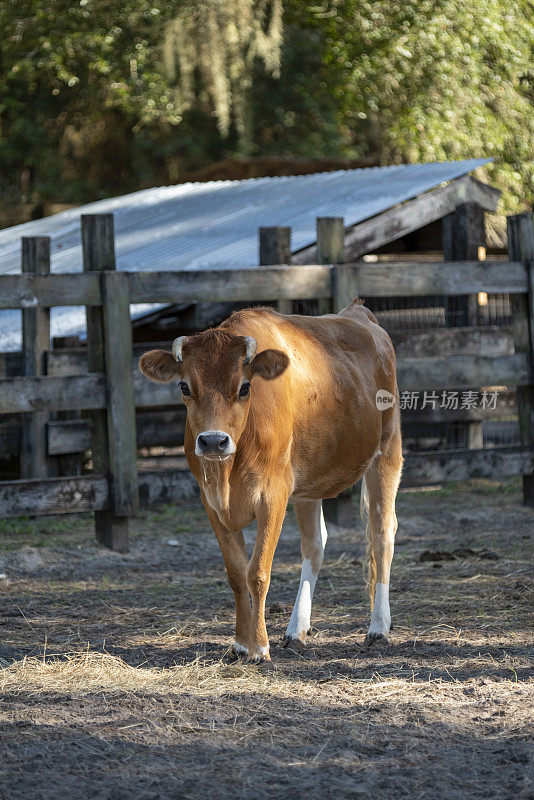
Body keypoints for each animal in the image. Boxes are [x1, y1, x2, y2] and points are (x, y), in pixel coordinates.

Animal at [140, 302, 404, 664]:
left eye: (245, 387)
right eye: (184, 386)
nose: (212, 441)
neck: (228, 474)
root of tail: (358, 313)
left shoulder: (273, 495)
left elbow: (258, 571)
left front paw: (259, 647)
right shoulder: (211, 502)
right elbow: (236, 575)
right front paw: (240, 643)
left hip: (387, 451)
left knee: (382, 534)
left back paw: (378, 628)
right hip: (309, 481)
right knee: (315, 544)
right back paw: (297, 630)